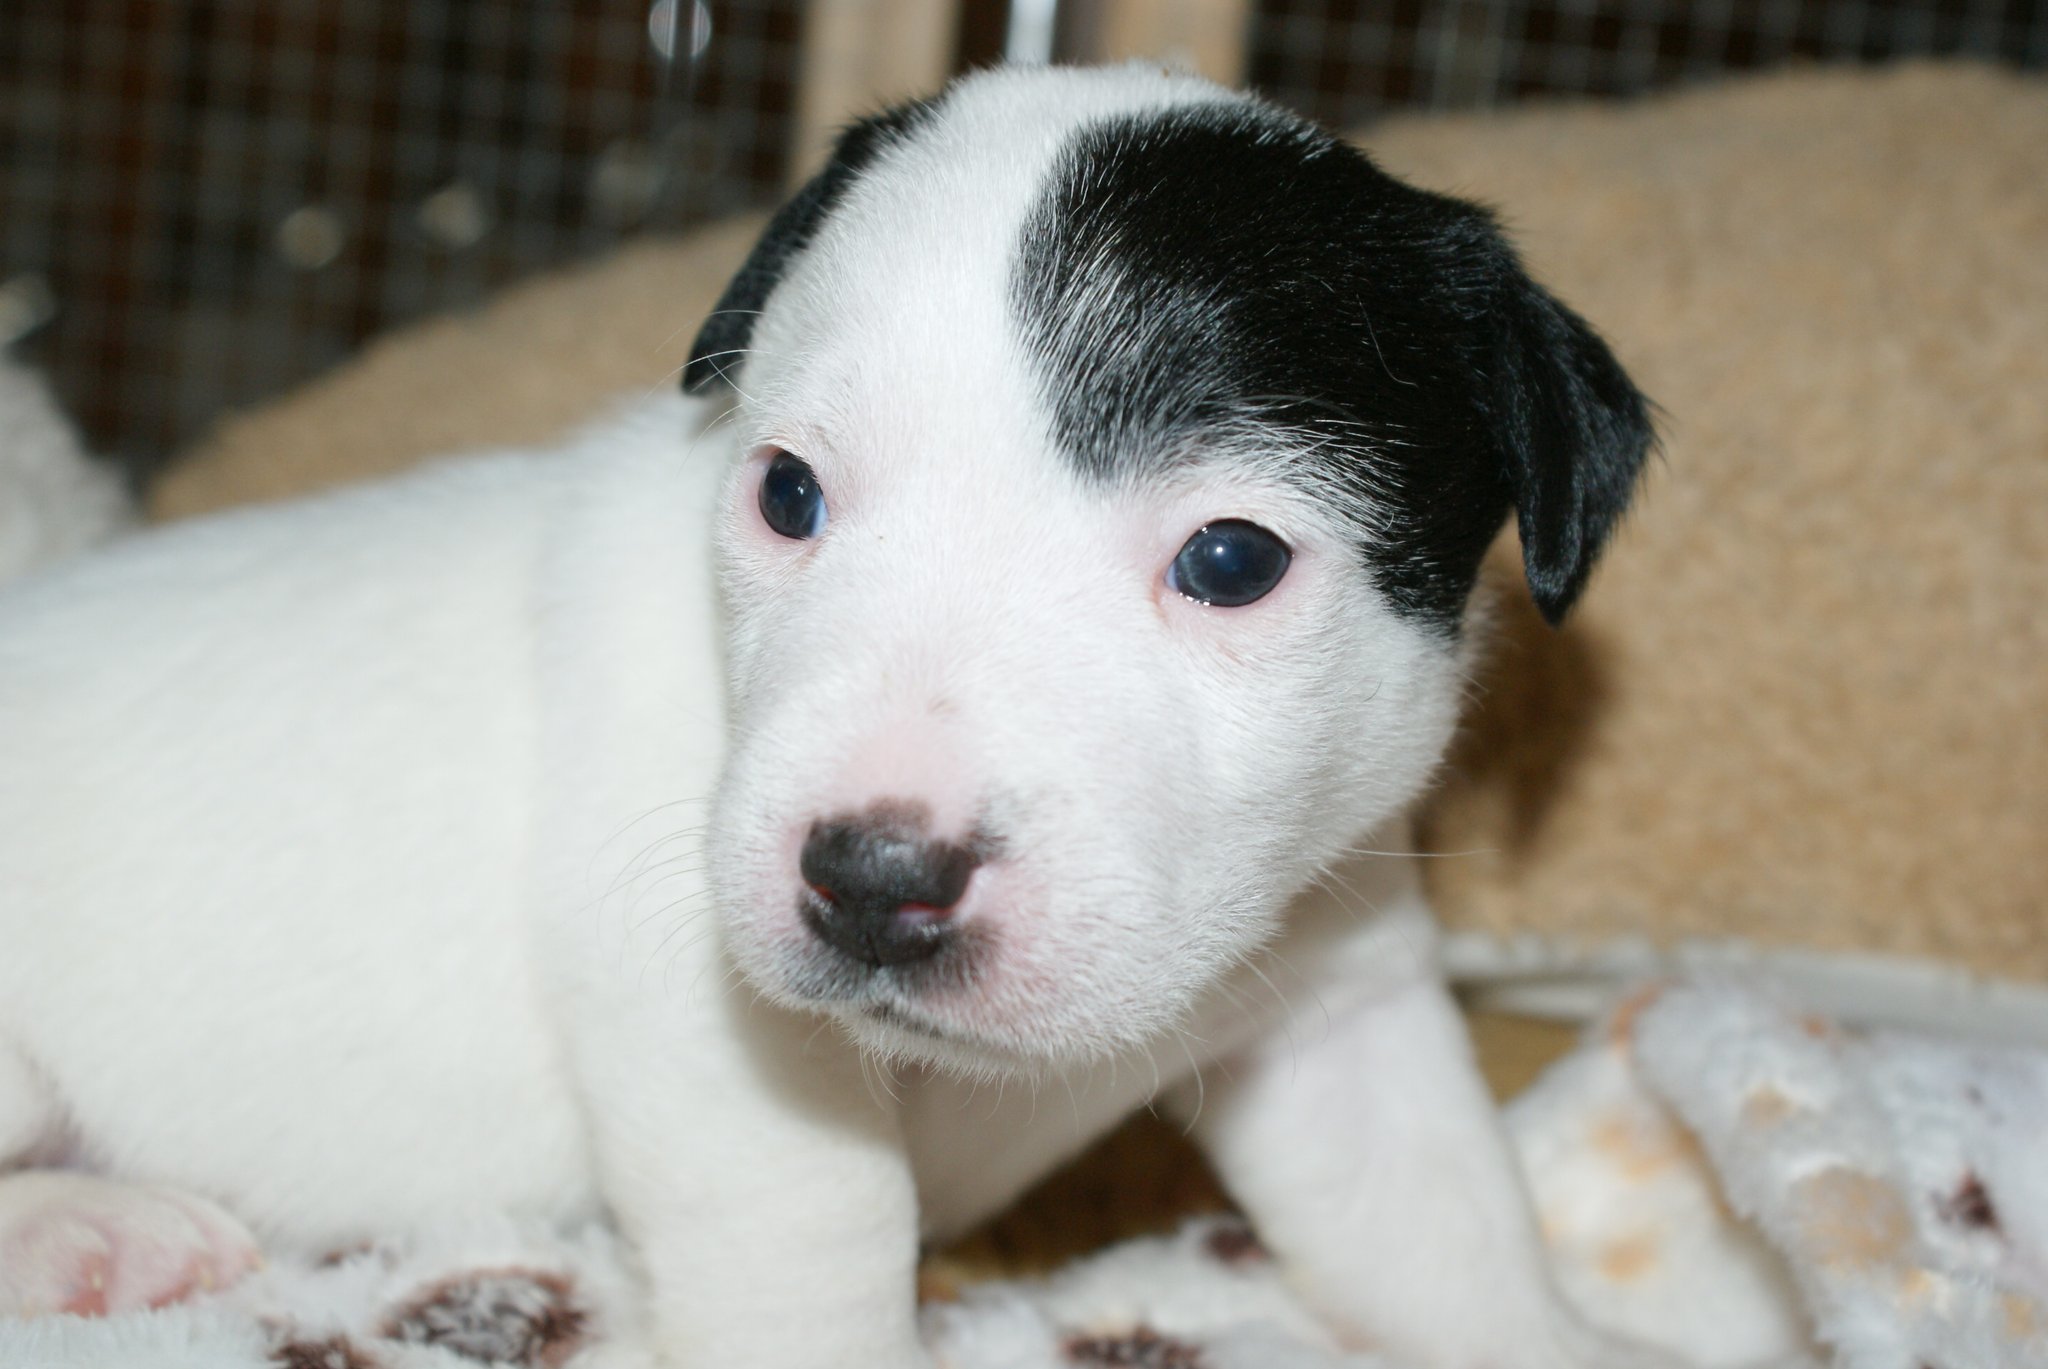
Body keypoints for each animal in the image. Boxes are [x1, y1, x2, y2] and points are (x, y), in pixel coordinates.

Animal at [0, 65, 1662, 1368]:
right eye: (788, 492)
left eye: (1232, 562)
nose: (873, 877)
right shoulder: (717, 1040)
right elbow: (818, 1248)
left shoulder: (1340, 1000)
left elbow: (1449, 1228)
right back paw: (90, 1230)